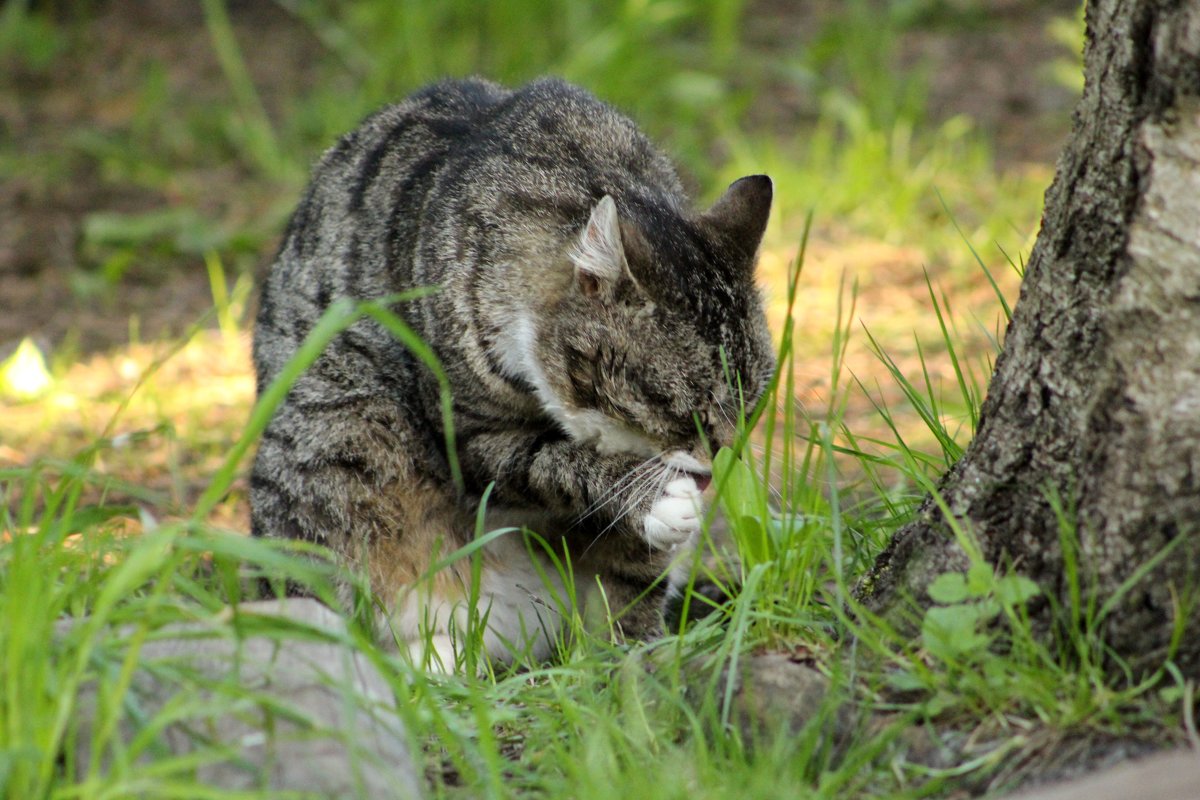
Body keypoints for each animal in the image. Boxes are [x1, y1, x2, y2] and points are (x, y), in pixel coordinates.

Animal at [250, 77, 777, 671]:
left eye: (753, 404)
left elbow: (630, 587)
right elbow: (551, 461)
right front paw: (647, 493)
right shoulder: (469, 433)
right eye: (679, 410)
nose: (721, 462)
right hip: (344, 429)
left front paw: (638, 663)